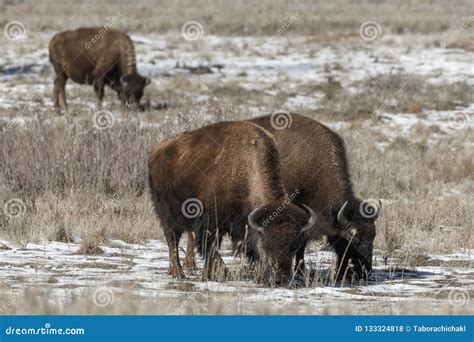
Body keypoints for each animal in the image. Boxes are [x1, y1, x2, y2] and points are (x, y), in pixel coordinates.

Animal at [150, 121, 316, 284]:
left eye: (294, 247)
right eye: (266, 245)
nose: (279, 280)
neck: (247, 166)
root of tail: (156, 150)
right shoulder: (211, 222)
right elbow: (210, 248)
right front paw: (211, 275)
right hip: (168, 215)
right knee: (172, 240)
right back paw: (178, 273)